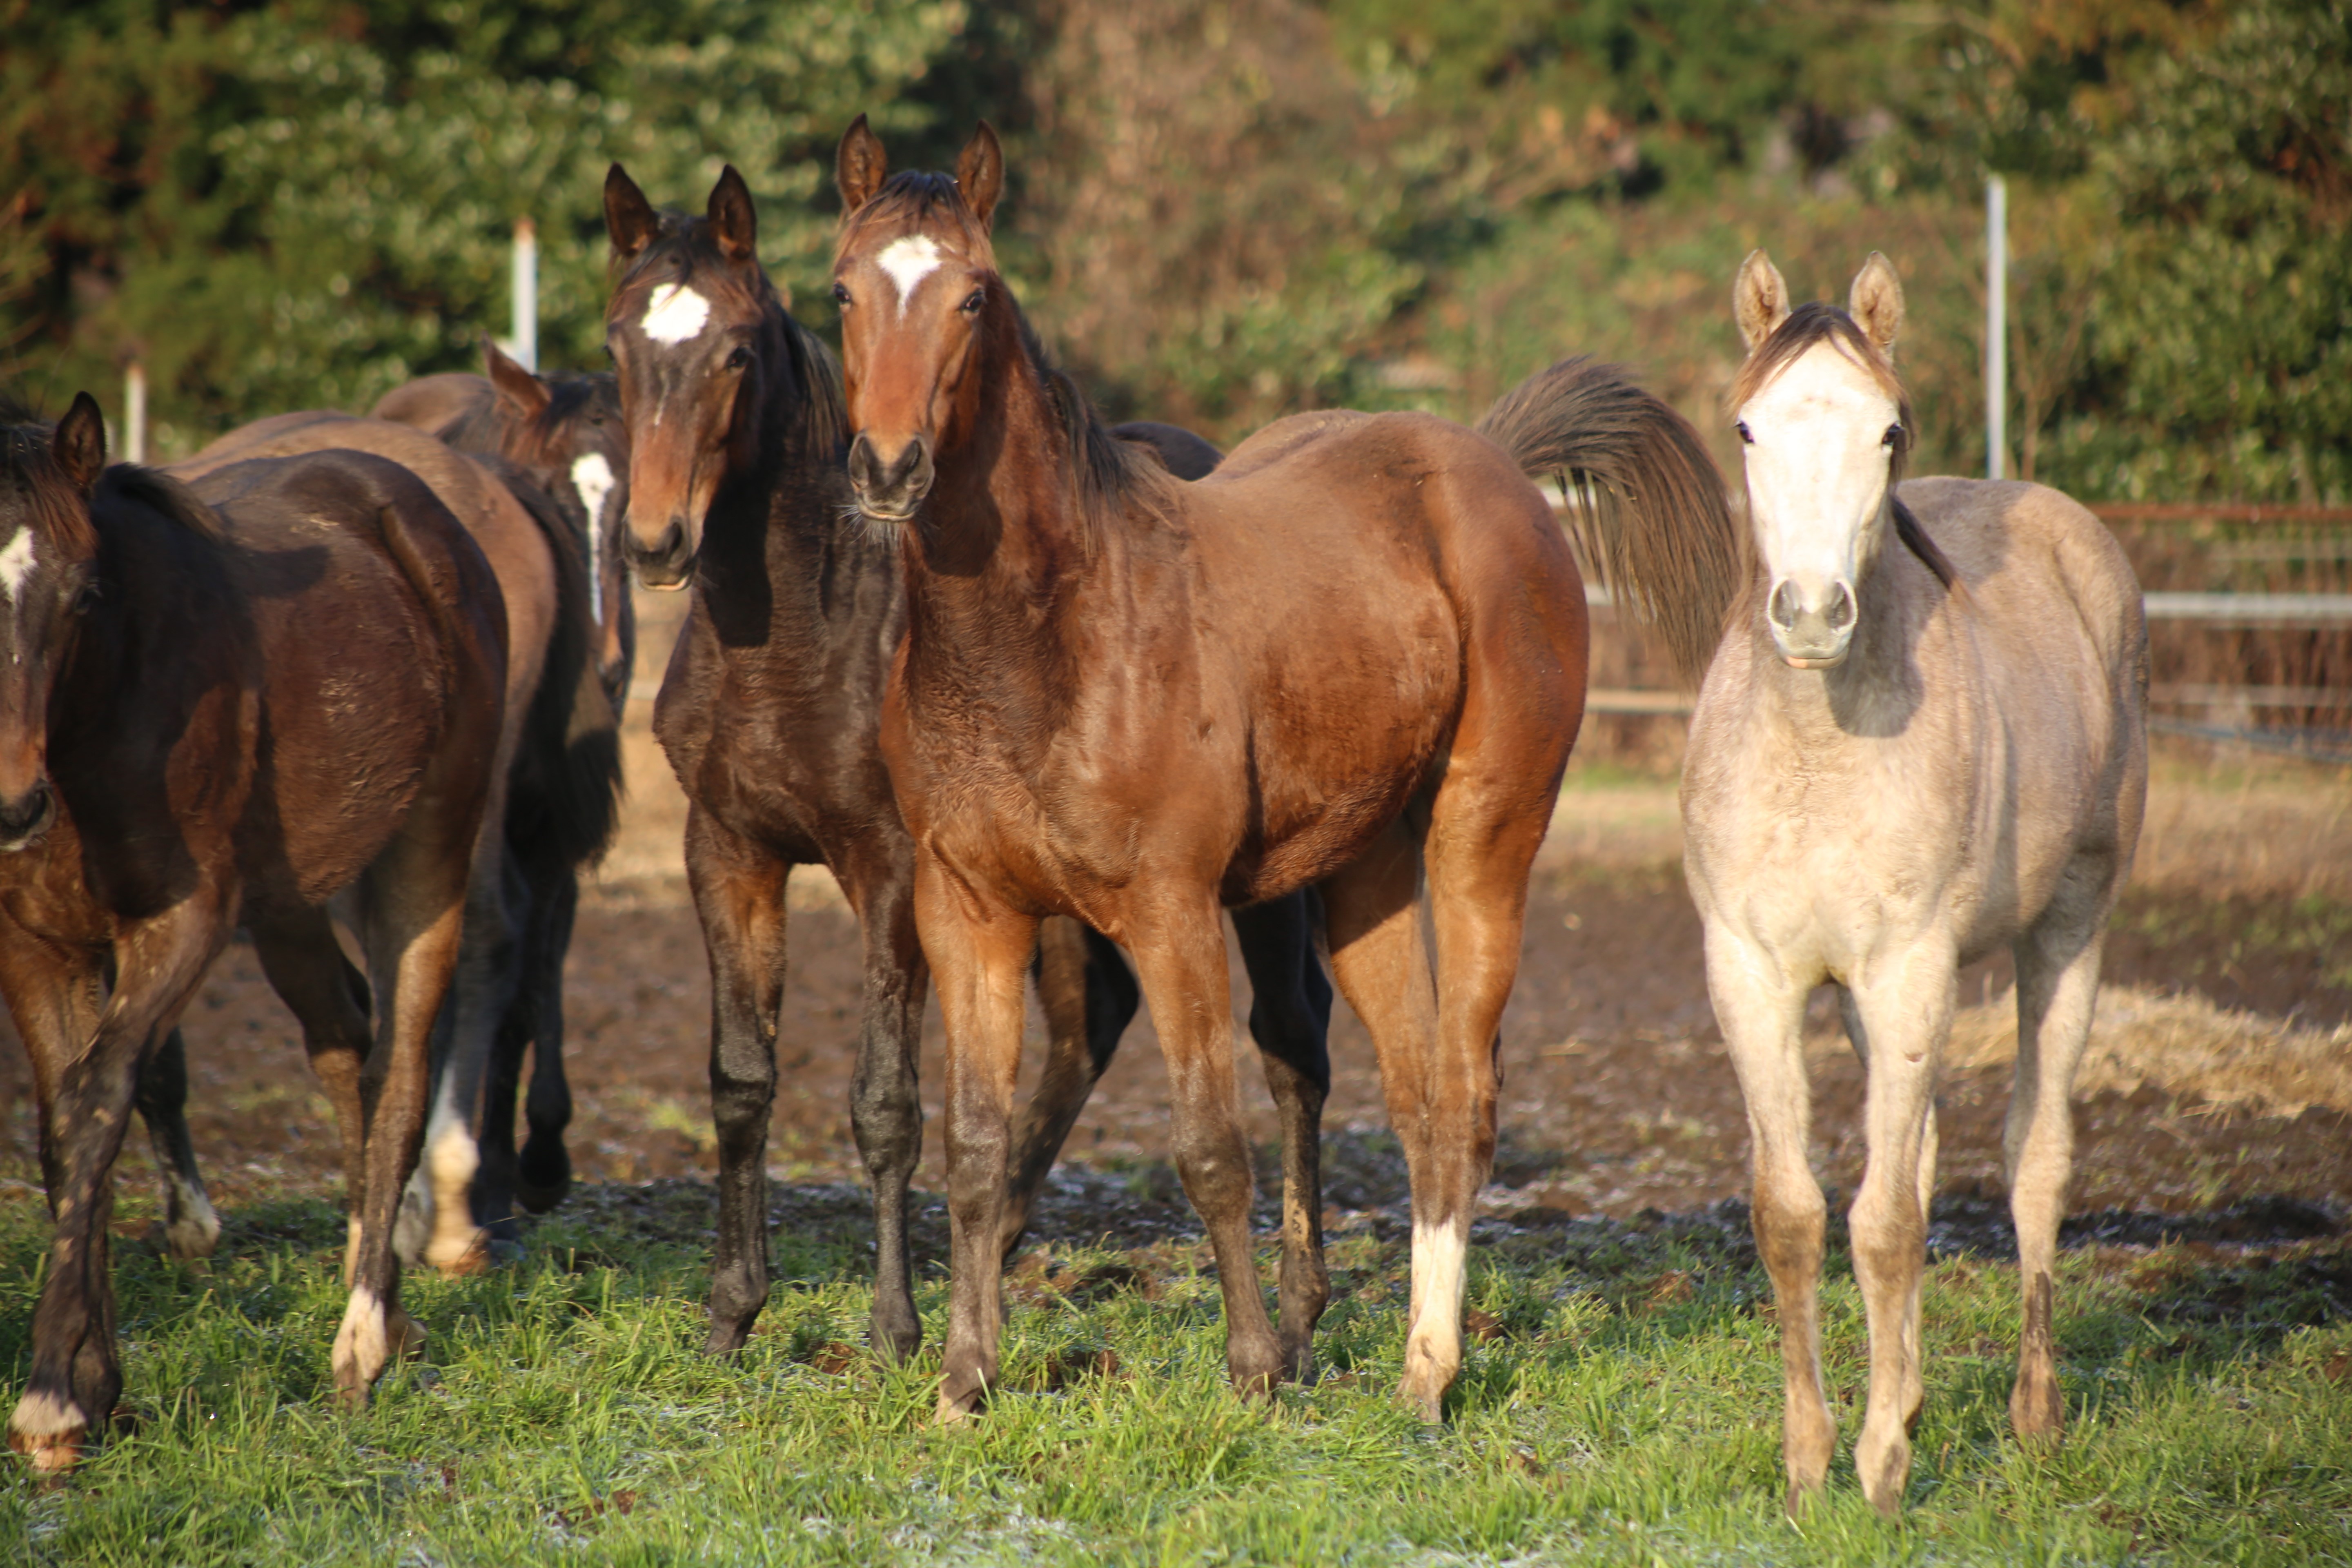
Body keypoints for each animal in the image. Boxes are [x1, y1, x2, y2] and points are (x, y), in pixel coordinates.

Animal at [0, 392, 510, 1476]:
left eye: (83, 592)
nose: (11, 802)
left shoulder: (182, 925)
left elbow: (103, 1101)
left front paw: (55, 1397)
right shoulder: (31, 946)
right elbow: (63, 1134)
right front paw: (98, 1384)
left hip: (426, 859)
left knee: (398, 1069)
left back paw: (365, 1335)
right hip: (289, 906)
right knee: (344, 1043)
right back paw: (387, 1294)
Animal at [367, 350, 630, 1232]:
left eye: (635, 502)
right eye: (542, 486)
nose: (608, 667)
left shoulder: (549, 828)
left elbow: (528, 974)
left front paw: (521, 1164)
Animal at [602, 160, 1345, 1363]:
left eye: (736, 353)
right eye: (620, 342)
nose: (655, 540)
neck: (799, 638)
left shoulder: (892, 866)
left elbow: (886, 1101)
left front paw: (897, 1325)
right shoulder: (726, 851)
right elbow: (741, 1082)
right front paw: (731, 1311)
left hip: (1258, 887)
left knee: (1289, 1044)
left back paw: (1290, 1308)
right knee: (1087, 1029)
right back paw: (1002, 1244)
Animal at [837, 122, 1740, 1420]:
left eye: (971, 295)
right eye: (843, 291)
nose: (887, 467)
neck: (1046, 641)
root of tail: (1491, 461)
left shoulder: (1167, 912)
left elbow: (1210, 1148)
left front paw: (1255, 1367)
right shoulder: (969, 911)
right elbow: (975, 1150)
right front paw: (966, 1381)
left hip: (1481, 842)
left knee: (1465, 1095)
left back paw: (1429, 1372)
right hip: (1360, 877)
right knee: (1412, 1096)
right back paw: (1405, 1359)